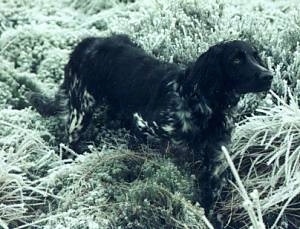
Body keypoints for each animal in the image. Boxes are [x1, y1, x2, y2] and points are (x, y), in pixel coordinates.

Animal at [27, 34, 274, 220]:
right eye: (236, 59)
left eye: (256, 56)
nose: (268, 76)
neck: (206, 106)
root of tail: (87, 42)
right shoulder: (143, 124)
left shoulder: (217, 162)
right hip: (80, 113)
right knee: (66, 145)